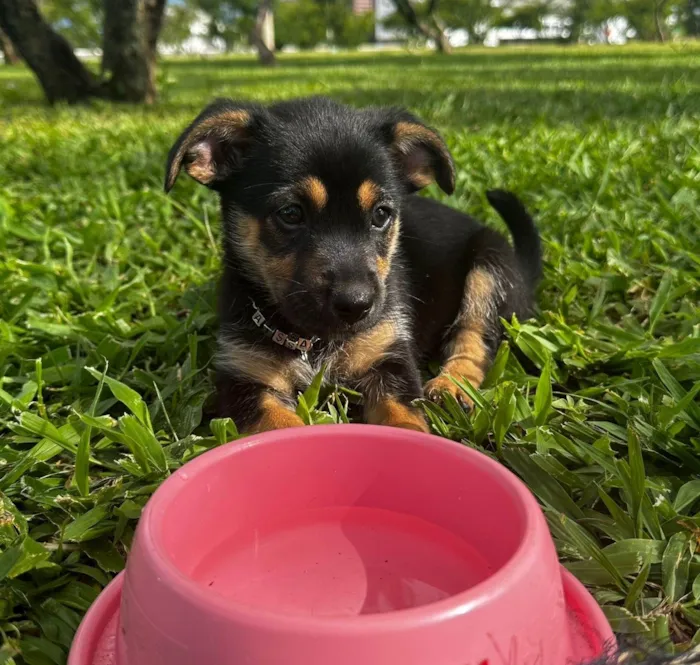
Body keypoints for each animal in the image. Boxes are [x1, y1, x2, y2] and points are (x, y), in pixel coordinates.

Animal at [167, 96, 544, 434]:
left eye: (381, 214)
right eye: (290, 213)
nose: (357, 305)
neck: (314, 342)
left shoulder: (391, 358)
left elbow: (404, 421)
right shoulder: (245, 378)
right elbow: (280, 426)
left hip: (489, 264)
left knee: (475, 338)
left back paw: (452, 385)